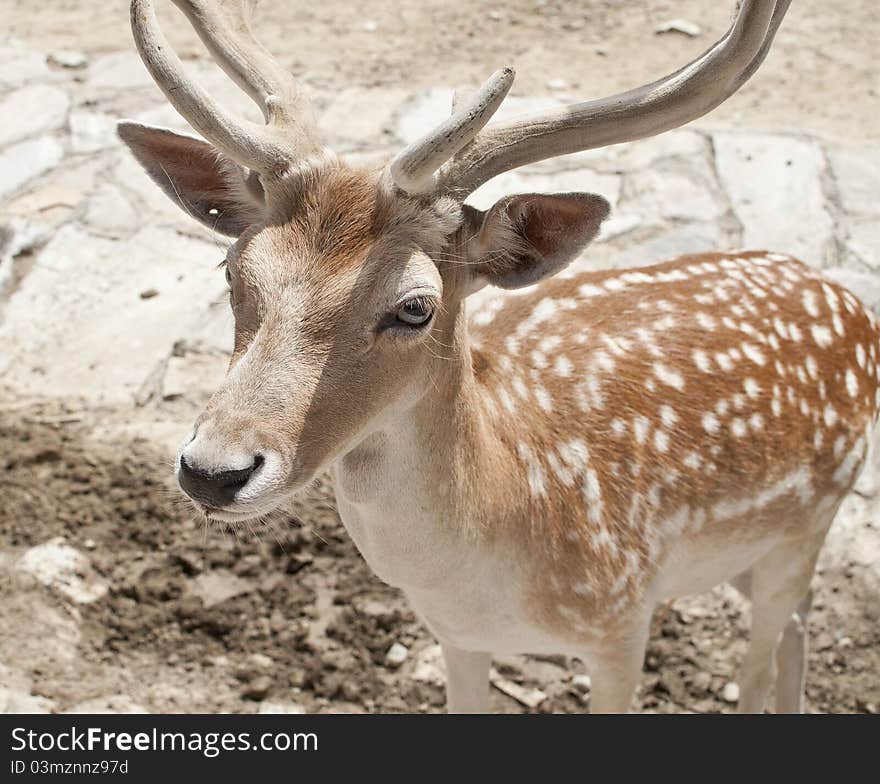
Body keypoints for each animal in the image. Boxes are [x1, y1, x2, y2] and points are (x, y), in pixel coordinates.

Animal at [117, 0, 880, 712]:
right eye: (230, 267)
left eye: (415, 305)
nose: (212, 470)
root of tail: (849, 303)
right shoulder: (455, 636)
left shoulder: (622, 621)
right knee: (800, 620)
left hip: (811, 520)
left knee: (765, 653)